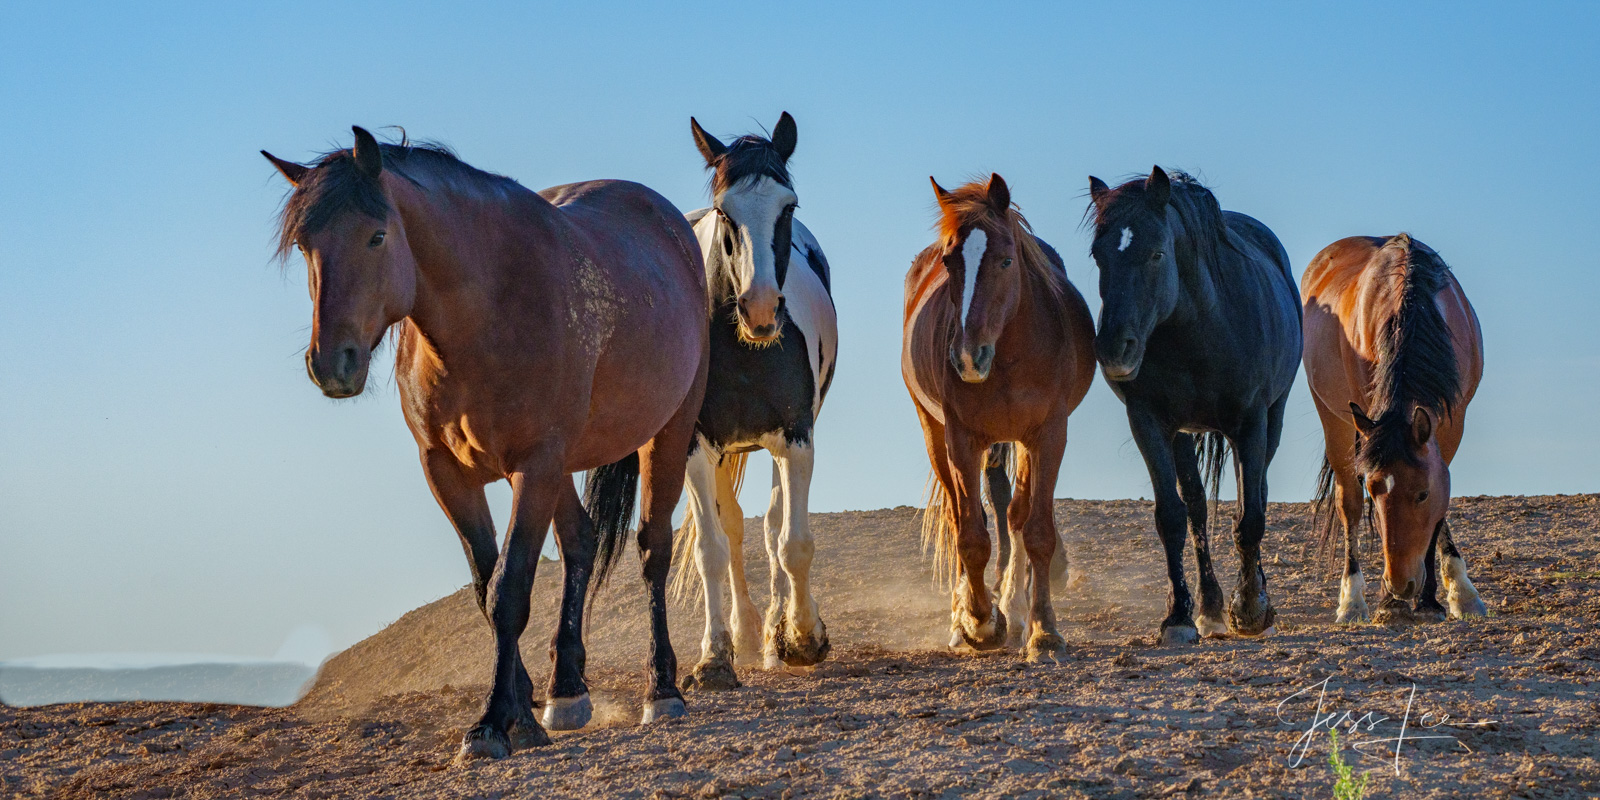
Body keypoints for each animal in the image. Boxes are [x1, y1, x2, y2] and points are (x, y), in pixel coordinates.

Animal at [264, 126, 707, 761]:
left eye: (377, 235)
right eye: (304, 246)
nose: (332, 364)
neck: (486, 311)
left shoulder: (534, 465)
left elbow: (509, 590)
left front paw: (494, 722)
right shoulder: (447, 471)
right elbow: (485, 586)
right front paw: (523, 712)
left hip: (664, 435)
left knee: (653, 549)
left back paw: (662, 690)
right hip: (562, 469)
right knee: (580, 544)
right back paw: (566, 690)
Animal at [665, 111, 838, 688]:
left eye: (789, 207)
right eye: (725, 212)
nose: (760, 309)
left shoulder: (796, 438)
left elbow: (792, 543)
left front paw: (801, 638)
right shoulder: (695, 447)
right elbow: (711, 549)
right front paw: (715, 656)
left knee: (770, 525)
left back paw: (773, 638)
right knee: (734, 528)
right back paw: (743, 635)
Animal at [902, 175, 1100, 662]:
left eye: (1006, 260)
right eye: (950, 261)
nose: (966, 357)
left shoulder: (1048, 434)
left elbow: (1036, 531)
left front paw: (1043, 630)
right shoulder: (962, 438)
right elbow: (972, 534)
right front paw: (978, 622)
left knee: (1014, 514)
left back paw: (1014, 607)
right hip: (935, 433)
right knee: (961, 515)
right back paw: (969, 619)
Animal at [1088, 167, 1299, 643]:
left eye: (1157, 253)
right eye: (1097, 255)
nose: (1112, 349)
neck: (1199, 327)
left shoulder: (1251, 422)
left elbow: (1250, 515)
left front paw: (1251, 607)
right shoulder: (1150, 423)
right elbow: (1173, 516)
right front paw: (1179, 617)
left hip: (1271, 420)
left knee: (1256, 492)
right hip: (1184, 434)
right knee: (1198, 510)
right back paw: (1210, 606)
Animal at [1299, 232, 1484, 624]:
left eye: (1422, 494)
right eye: (1375, 491)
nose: (1400, 586)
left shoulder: (1452, 423)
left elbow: (1440, 506)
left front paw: (1446, 596)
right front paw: (1392, 603)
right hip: (1334, 419)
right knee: (1349, 506)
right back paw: (1352, 600)